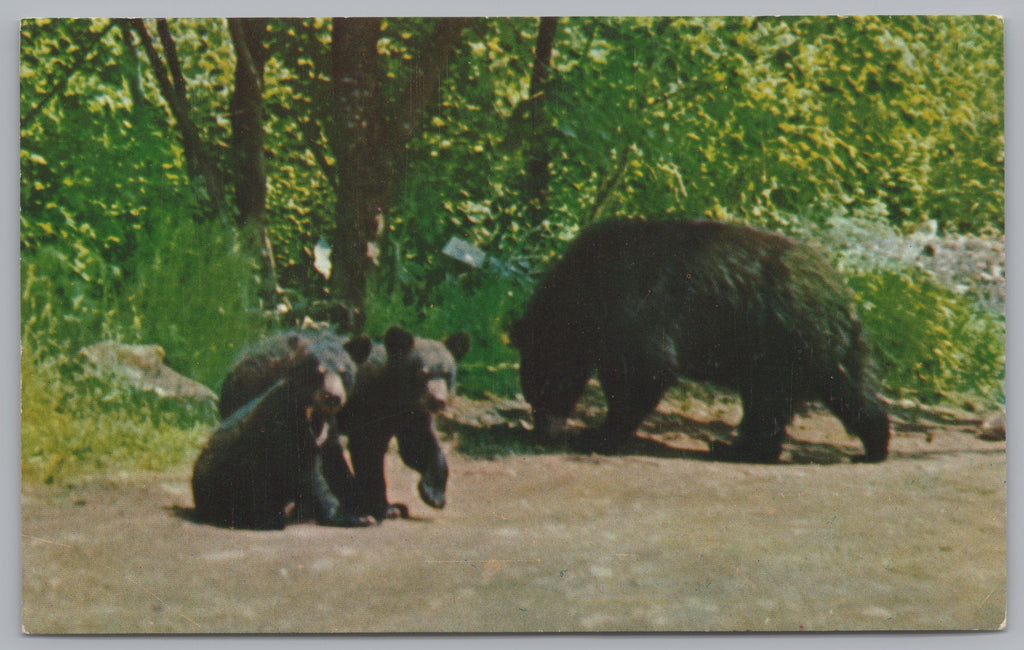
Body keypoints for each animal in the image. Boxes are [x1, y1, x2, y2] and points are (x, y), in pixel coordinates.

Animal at [192, 329, 372, 528]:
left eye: (344, 372)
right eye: (317, 372)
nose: (332, 397)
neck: (313, 414)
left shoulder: (328, 431)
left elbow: (336, 464)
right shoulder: (283, 424)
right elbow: (304, 472)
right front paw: (347, 515)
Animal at [323, 327, 471, 522]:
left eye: (447, 374)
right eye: (423, 373)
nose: (438, 400)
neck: (396, 397)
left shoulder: (412, 415)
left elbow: (419, 445)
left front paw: (433, 494)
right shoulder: (368, 409)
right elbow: (368, 452)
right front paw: (384, 508)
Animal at [512, 219, 888, 462]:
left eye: (547, 386)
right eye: (531, 391)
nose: (543, 431)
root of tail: (840, 296)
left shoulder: (636, 308)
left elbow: (645, 370)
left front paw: (599, 434)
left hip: (780, 342)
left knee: (768, 404)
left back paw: (739, 450)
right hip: (826, 349)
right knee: (852, 391)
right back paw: (875, 445)